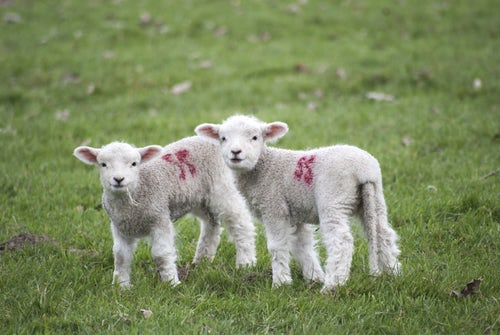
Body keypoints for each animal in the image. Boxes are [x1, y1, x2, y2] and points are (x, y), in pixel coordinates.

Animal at [73, 136, 258, 288]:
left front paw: (171, 283)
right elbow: (120, 256)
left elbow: (161, 254)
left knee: (240, 223)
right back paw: (202, 262)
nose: (118, 179)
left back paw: (245, 263)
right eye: (103, 164)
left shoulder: (160, 218)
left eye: (134, 163)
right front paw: (121, 287)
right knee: (211, 224)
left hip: (222, 186)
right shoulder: (120, 227)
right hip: (199, 198)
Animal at [195, 115, 402, 292]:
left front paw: (281, 283)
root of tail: (364, 170)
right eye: (223, 138)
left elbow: (277, 246)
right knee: (383, 233)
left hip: (334, 199)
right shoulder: (296, 214)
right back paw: (394, 273)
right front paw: (313, 277)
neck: (263, 167)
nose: (235, 152)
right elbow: (302, 246)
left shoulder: (274, 207)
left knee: (341, 241)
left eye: (255, 137)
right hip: (374, 199)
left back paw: (333, 285)